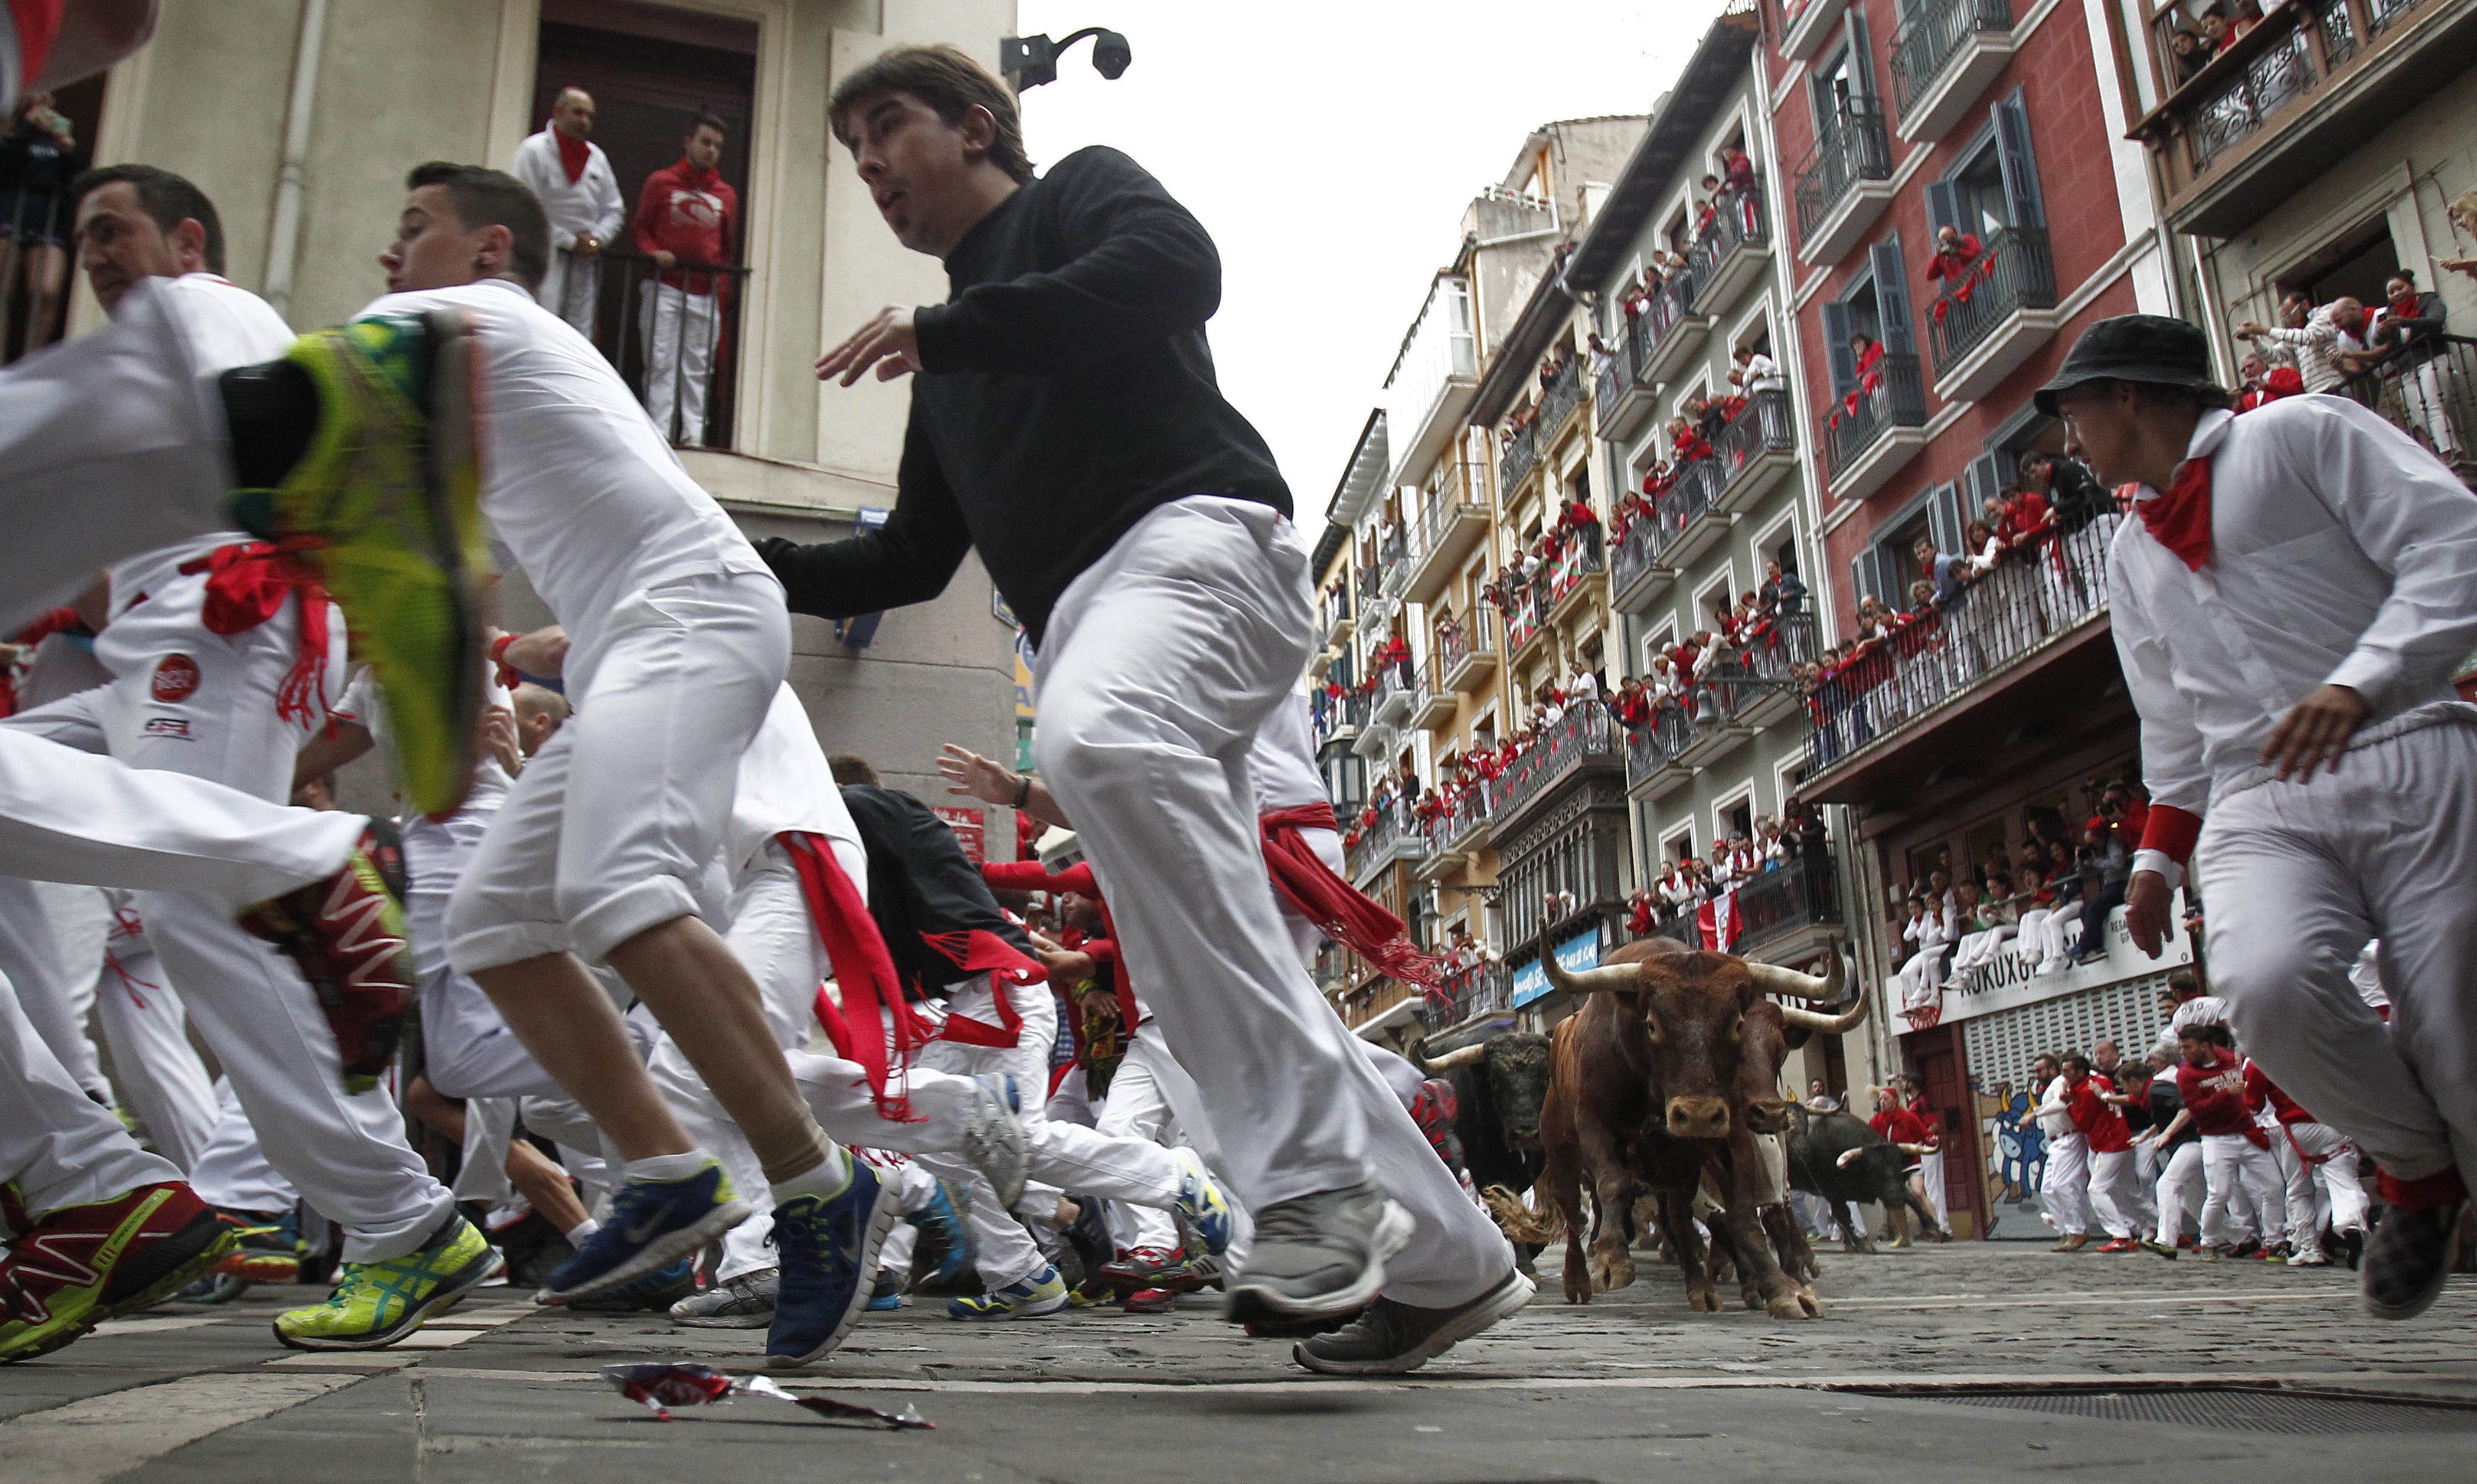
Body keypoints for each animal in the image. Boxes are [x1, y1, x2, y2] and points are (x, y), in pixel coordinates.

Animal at [1535, 941, 1862, 1328]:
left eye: (1736, 1024)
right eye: (1652, 1025)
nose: (1697, 1116)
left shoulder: (1732, 1136)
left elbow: (1745, 1218)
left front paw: (1784, 1289)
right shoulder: (1594, 1121)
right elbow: (1614, 1184)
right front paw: (1612, 1259)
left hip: (1678, 1169)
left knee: (1680, 1220)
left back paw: (1701, 1287)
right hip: (1563, 1154)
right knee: (1574, 1213)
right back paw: (1577, 1277)